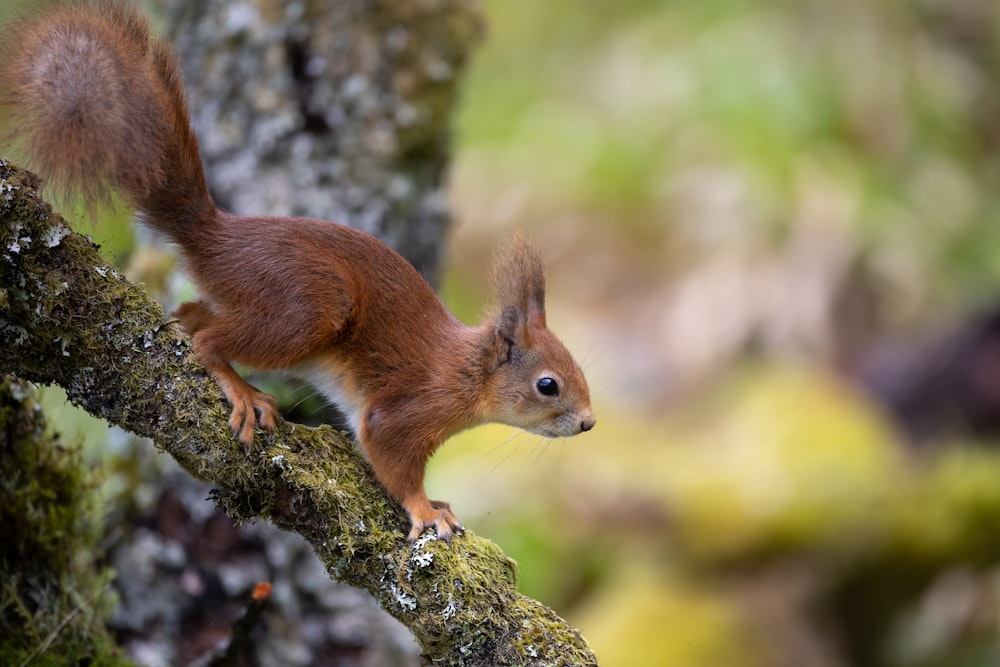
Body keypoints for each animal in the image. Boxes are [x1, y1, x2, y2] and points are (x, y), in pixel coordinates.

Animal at [0, 0, 592, 544]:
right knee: (210, 341)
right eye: (548, 385)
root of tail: (216, 237)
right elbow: (391, 458)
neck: (468, 374)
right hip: (310, 307)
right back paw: (242, 391)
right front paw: (427, 510)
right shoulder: (409, 409)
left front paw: (437, 502)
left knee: (192, 314)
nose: (588, 422)